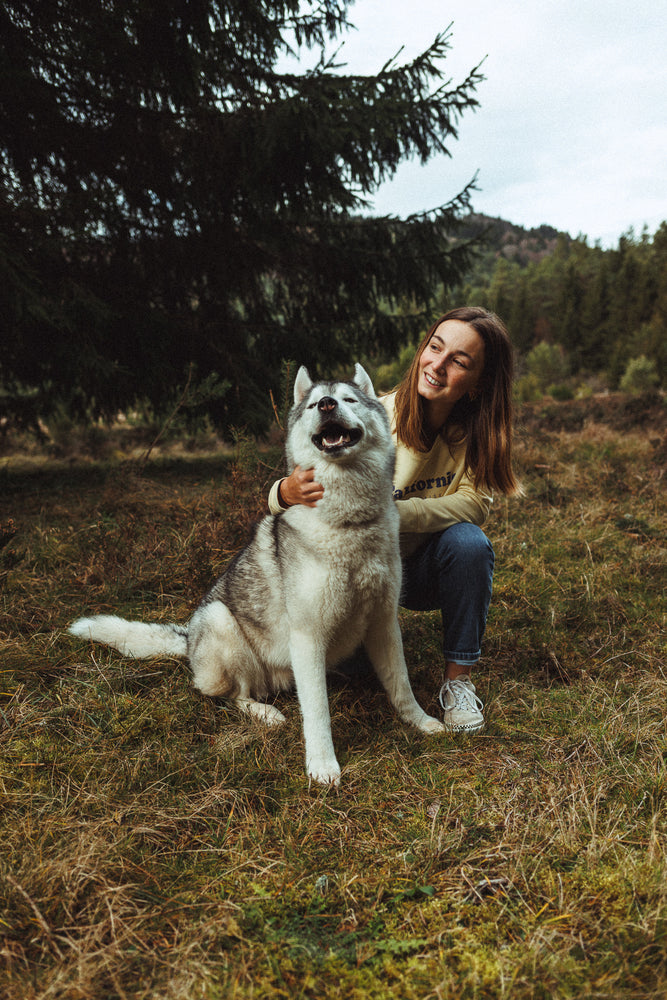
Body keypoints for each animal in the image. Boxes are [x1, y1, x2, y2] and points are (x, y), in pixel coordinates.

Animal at [69, 364, 444, 784]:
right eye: (316, 403)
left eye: (348, 399)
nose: (327, 405)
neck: (348, 523)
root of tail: (188, 638)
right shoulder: (307, 637)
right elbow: (317, 711)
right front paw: (322, 765)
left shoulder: (383, 622)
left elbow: (401, 684)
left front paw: (421, 722)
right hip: (222, 624)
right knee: (230, 696)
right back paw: (265, 713)